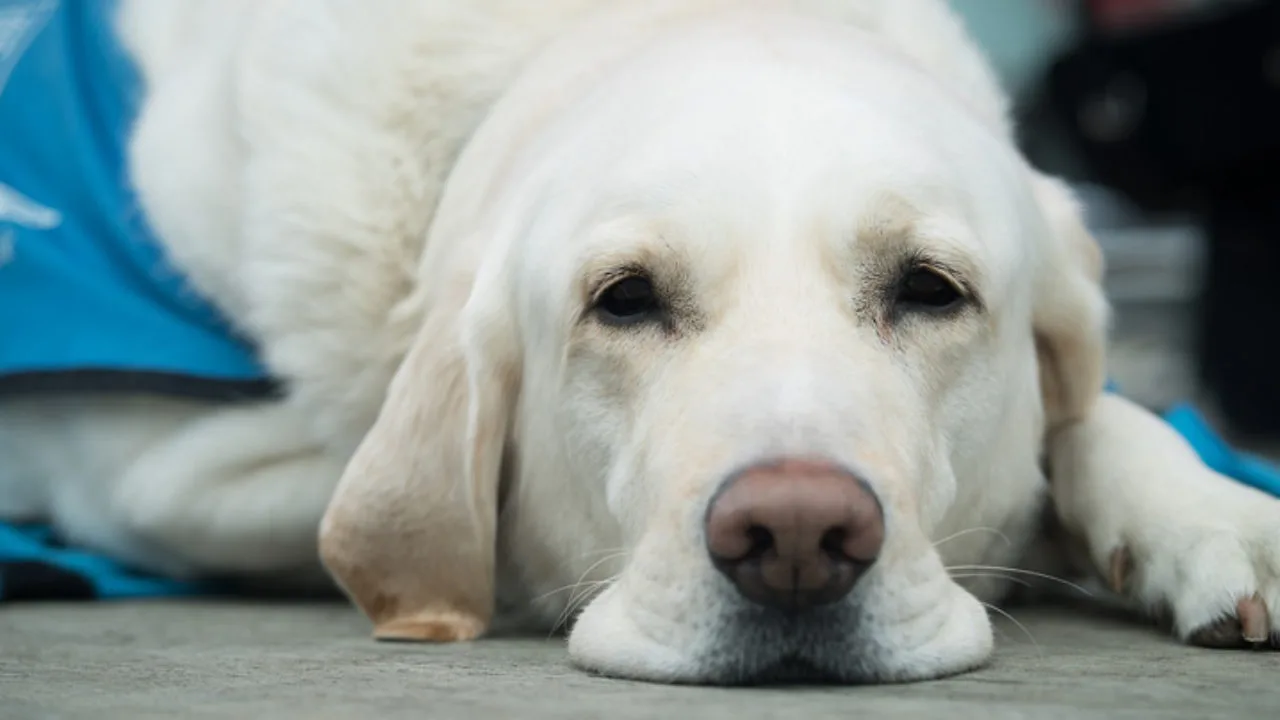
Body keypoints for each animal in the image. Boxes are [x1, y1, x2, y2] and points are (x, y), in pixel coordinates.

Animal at [2, 0, 1280, 681]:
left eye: (928, 289)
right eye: (622, 301)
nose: (796, 536)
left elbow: (1099, 415)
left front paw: (1211, 514)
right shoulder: (155, 475)